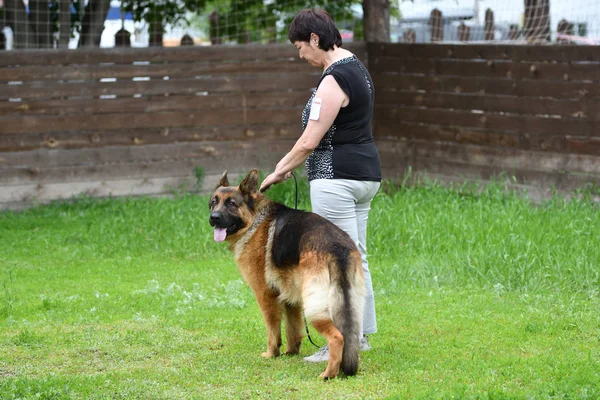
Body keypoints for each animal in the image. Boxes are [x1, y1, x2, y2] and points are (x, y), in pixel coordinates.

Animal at [211, 169, 366, 378]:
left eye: (231, 204)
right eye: (214, 202)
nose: (214, 217)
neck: (254, 219)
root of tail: (336, 246)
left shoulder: (265, 296)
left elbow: (273, 330)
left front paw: (271, 354)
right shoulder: (291, 299)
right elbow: (292, 329)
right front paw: (291, 352)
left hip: (314, 307)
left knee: (337, 337)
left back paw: (328, 374)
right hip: (352, 305)